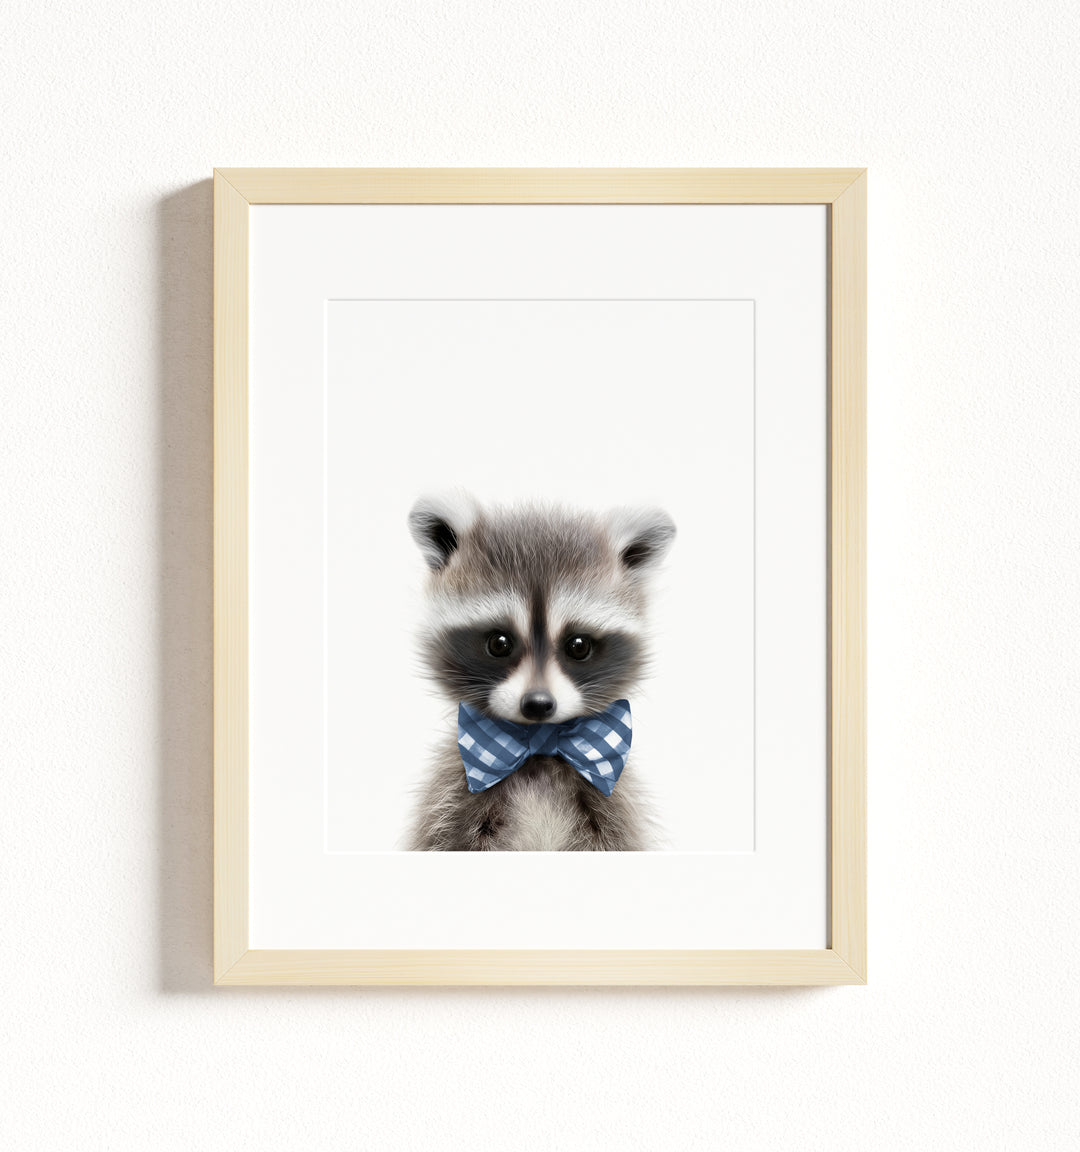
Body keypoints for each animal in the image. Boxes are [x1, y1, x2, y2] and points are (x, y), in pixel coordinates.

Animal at [404, 491, 675, 852]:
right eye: (500, 643)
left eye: (578, 645)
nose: (537, 704)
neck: (539, 751)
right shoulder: (451, 798)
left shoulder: (612, 806)